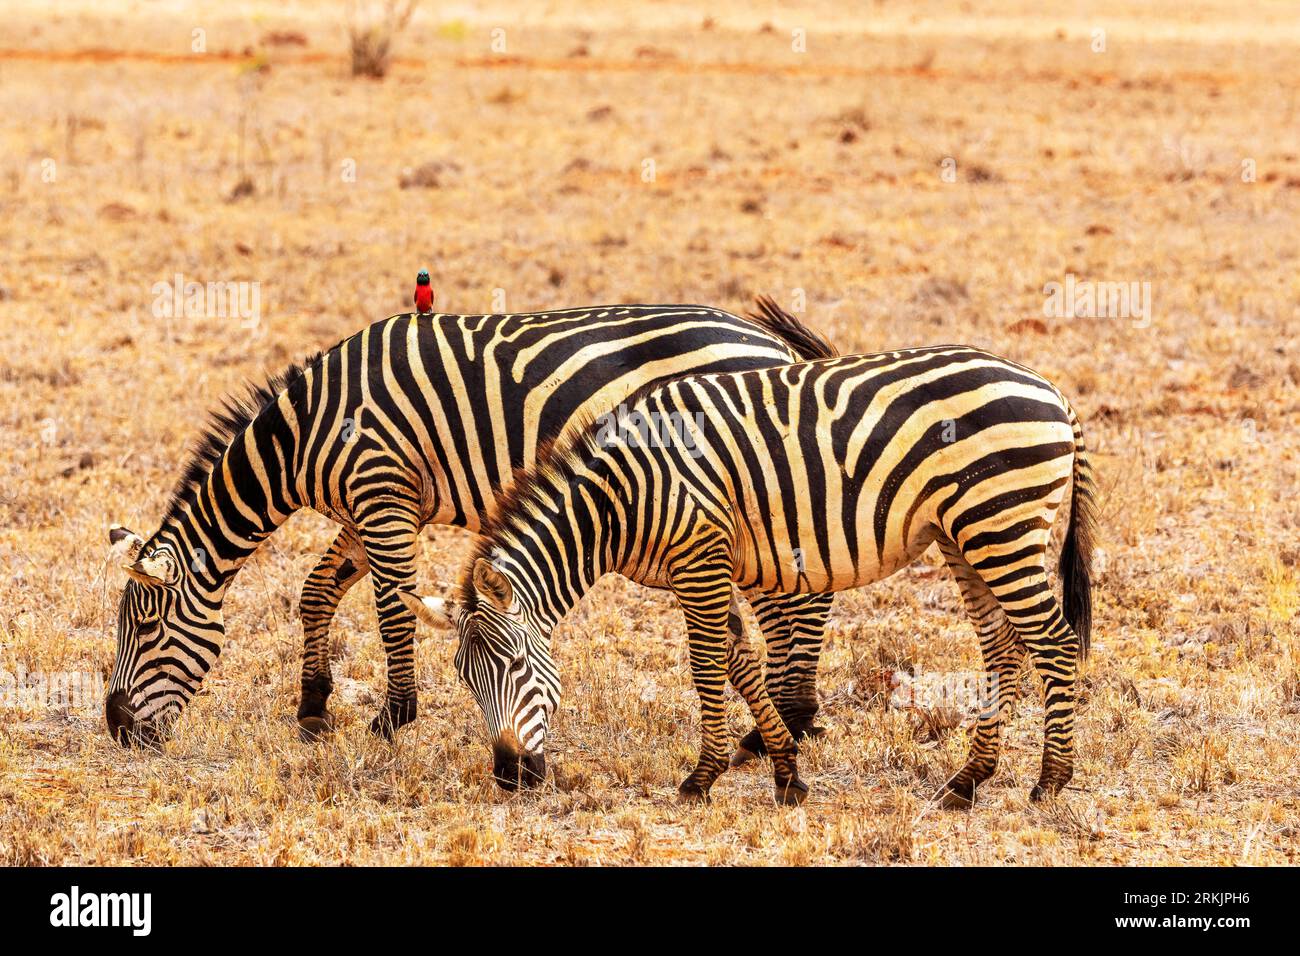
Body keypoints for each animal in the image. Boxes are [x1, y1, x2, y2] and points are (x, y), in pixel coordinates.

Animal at [101, 303, 837, 749]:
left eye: (144, 628)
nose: (114, 727)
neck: (302, 437)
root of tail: (771, 342)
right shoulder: (368, 506)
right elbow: (316, 593)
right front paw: (313, 707)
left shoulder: (383, 495)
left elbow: (391, 610)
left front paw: (394, 716)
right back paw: (785, 717)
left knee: (800, 599)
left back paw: (792, 718)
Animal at [405, 343, 1097, 806]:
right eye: (466, 678)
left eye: (517, 664)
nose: (510, 777)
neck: (622, 500)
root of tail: (1050, 388)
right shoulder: (697, 570)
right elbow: (741, 663)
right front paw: (785, 770)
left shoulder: (700, 560)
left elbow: (709, 665)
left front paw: (703, 777)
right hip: (965, 537)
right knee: (1004, 650)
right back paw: (968, 781)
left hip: (1000, 523)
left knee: (1055, 644)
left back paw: (1051, 780)